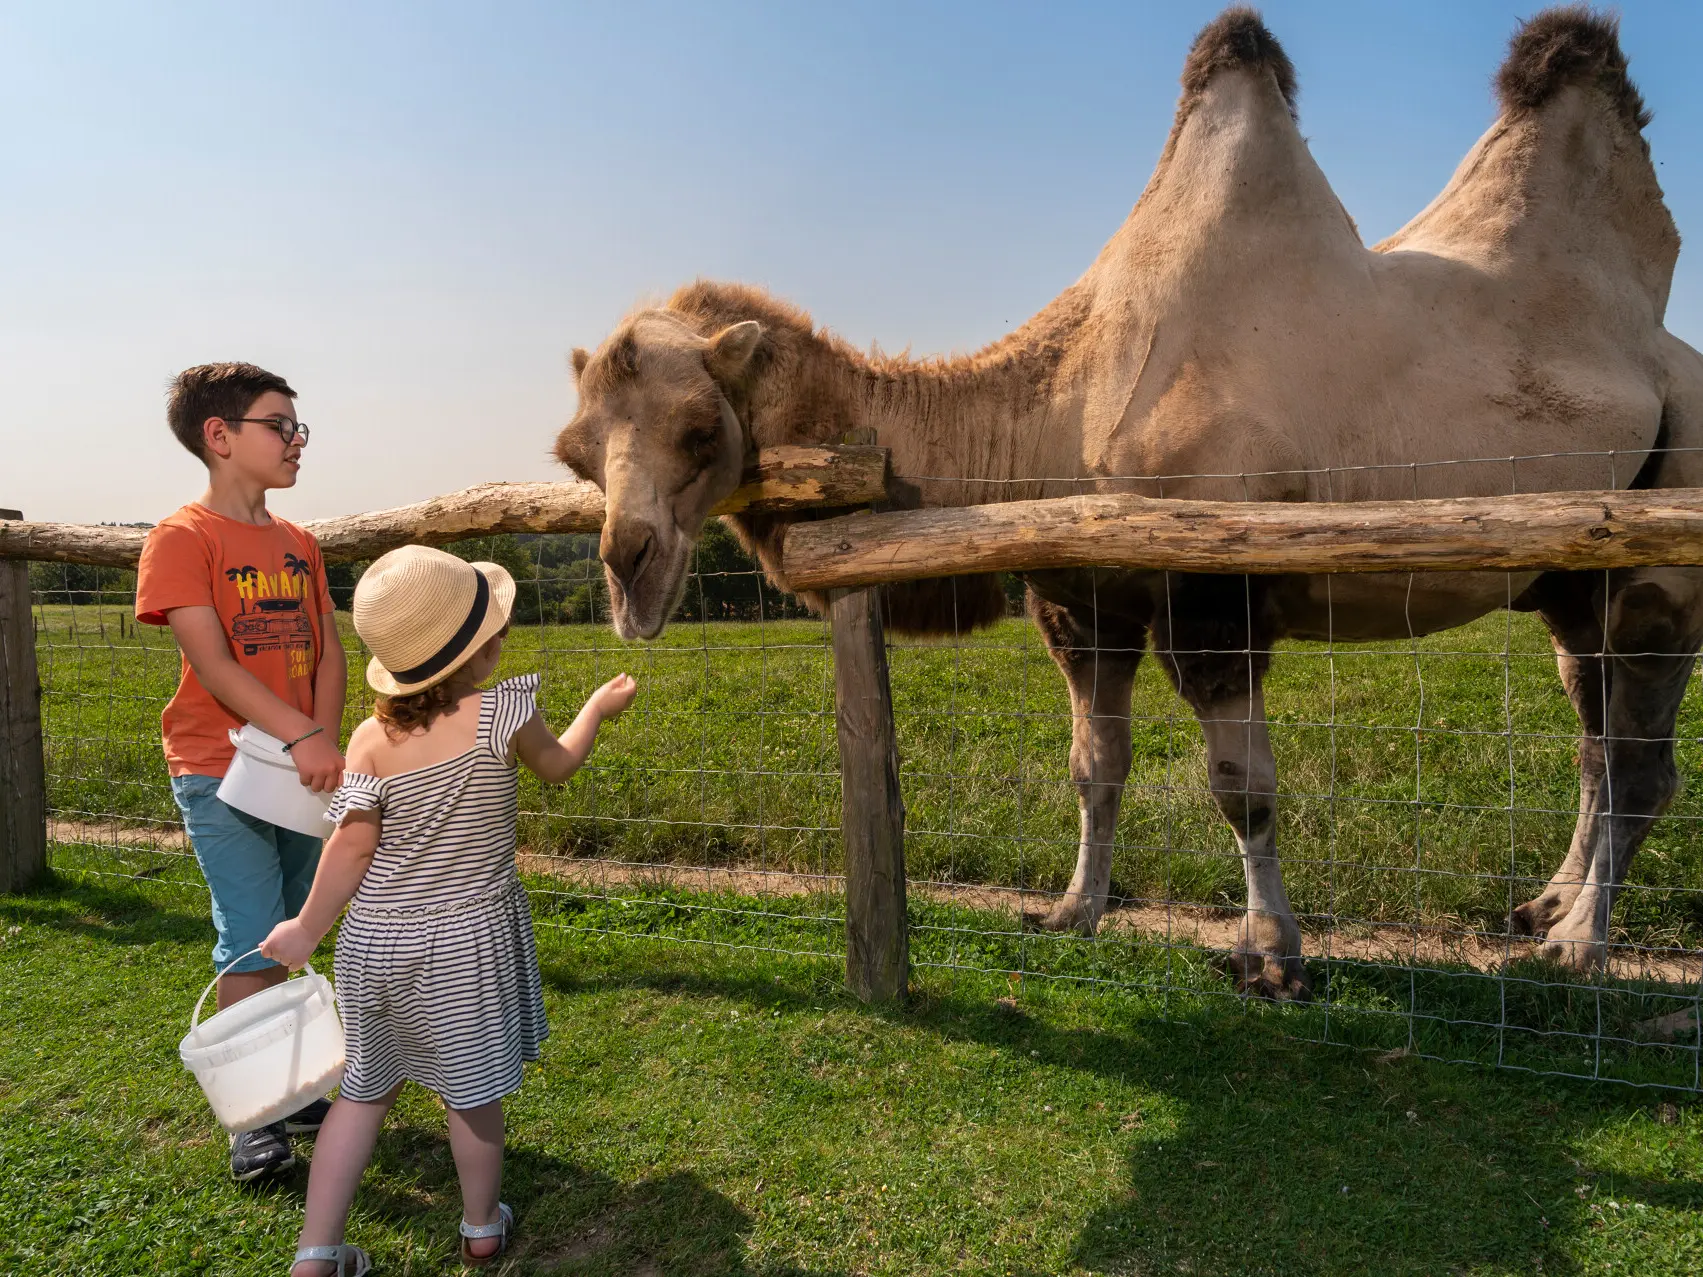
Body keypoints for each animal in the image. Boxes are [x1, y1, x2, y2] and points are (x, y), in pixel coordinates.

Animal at [555, 2, 1703, 1001]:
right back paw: (1543, 904)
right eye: (576, 454)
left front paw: (1272, 957)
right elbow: (1092, 764)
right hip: (1569, 580)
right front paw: (1074, 911)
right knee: (1593, 738)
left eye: (699, 431)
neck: (1059, 407)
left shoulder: (1213, 586)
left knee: (1640, 765)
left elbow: (1242, 788)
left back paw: (1577, 946)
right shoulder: (1084, 597)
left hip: (1663, 553)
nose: (626, 568)